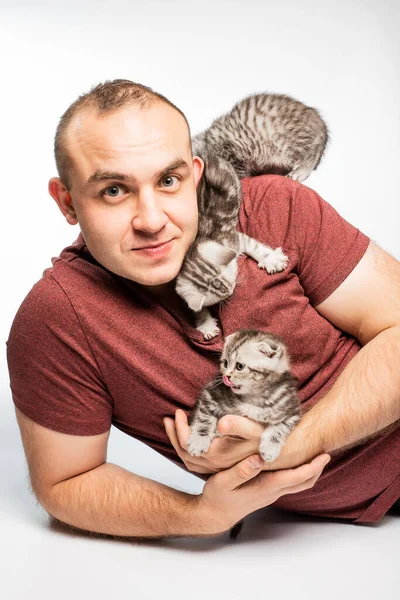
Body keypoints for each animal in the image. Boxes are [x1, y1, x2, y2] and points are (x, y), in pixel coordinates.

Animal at [175, 92, 328, 340]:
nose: (230, 291)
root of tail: (315, 117)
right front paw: (205, 322)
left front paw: (270, 259)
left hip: (284, 143)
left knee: (311, 152)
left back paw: (301, 170)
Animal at [187, 330, 300, 462]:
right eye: (225, 363)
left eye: (240, 366)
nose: (226, 376)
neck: (253, 396)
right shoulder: (211, 394)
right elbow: (204, 417)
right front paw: (199, 440)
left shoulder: (291, 409)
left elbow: (281, 428)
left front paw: (270, 448)